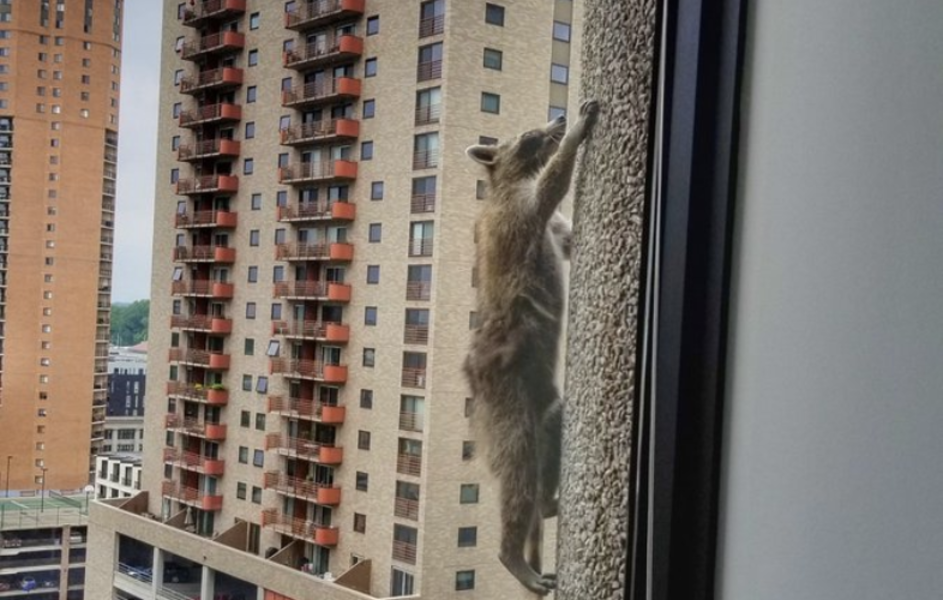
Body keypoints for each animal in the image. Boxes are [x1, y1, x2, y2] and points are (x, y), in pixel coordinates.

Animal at [463, 100, 599, 595]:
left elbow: (567, 237)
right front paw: (576, 134)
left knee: (552, 427)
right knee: (518, 476)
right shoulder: (518, 213)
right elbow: (551, 187)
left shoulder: (546, 226)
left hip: (540, 400)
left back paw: (547, 504)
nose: (556, 120)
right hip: (505, 404)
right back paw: (512, 554)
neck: (504, 180)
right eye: (528, 135)